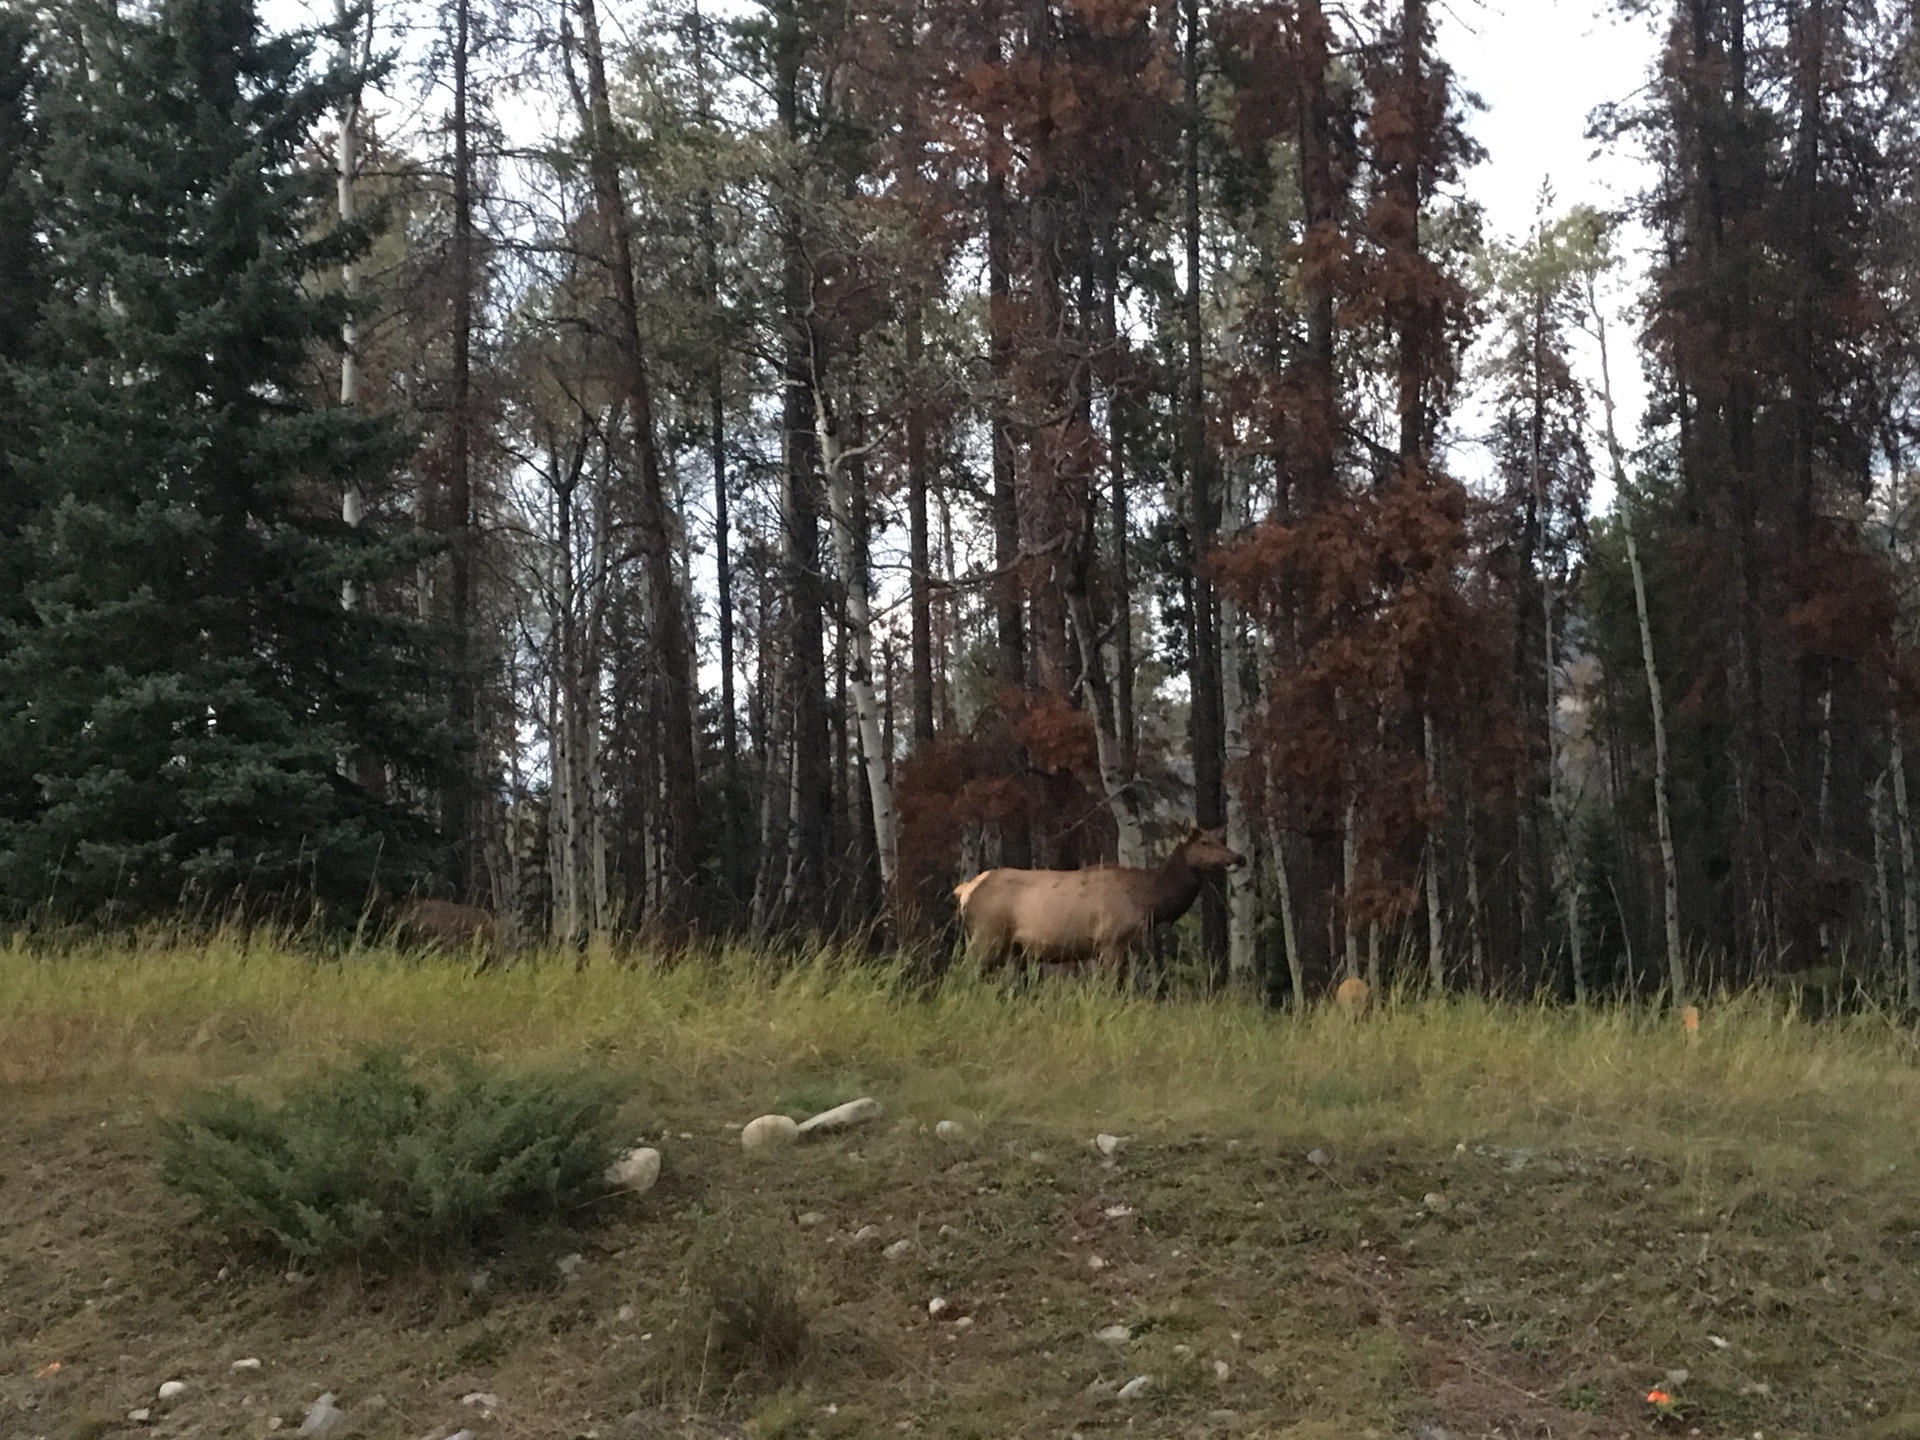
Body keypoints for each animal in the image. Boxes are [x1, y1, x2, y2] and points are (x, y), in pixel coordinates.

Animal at [948, 821, 1244, 983]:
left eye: (1219, 839)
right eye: (1204, 842)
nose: (1239, 857)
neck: (1149, 902)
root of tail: (965, 890)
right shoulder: (1110, 942)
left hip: (1009, 947)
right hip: (987, 935)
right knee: (961, 973)